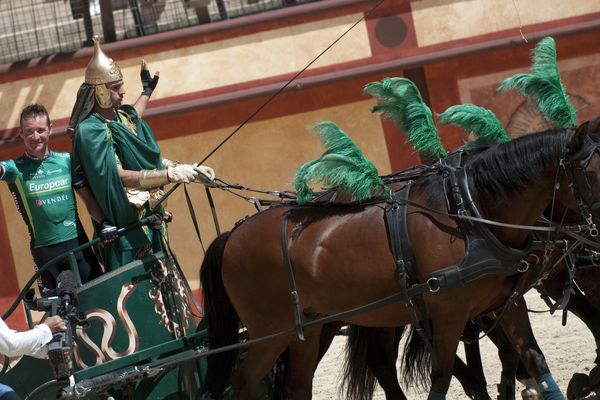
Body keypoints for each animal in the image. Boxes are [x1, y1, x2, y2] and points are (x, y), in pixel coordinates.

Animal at [199, 120, 600, 398]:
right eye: (591, 173)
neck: (470, 212)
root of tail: (232, 235)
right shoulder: (450, 312)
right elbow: (442, 376)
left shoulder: (507, 302)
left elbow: (534, 358)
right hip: (270, 331)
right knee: (244, 382)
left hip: (310, 327)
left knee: (298, 385)